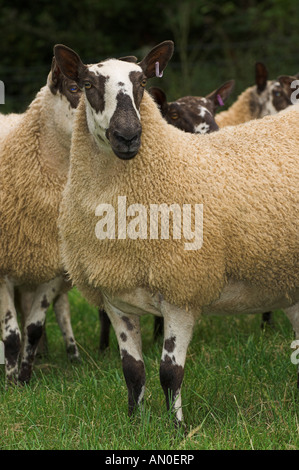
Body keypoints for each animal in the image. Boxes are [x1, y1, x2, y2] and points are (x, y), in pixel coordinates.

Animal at [0, 57, 82, 384]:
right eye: (73, 88)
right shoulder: (2, 268)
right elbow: (10, 332)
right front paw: (11, 380)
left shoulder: (54, 267)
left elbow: (33, 328)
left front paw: (24, 375)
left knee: (60, 310)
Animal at [55, 42, 299, 424]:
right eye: (88, 84)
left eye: (141, 83)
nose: (128, 137)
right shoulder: (114, 295)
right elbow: (132, 371)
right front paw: (135, 423)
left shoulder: (181, 289)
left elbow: (170, 372)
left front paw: (177, 427)